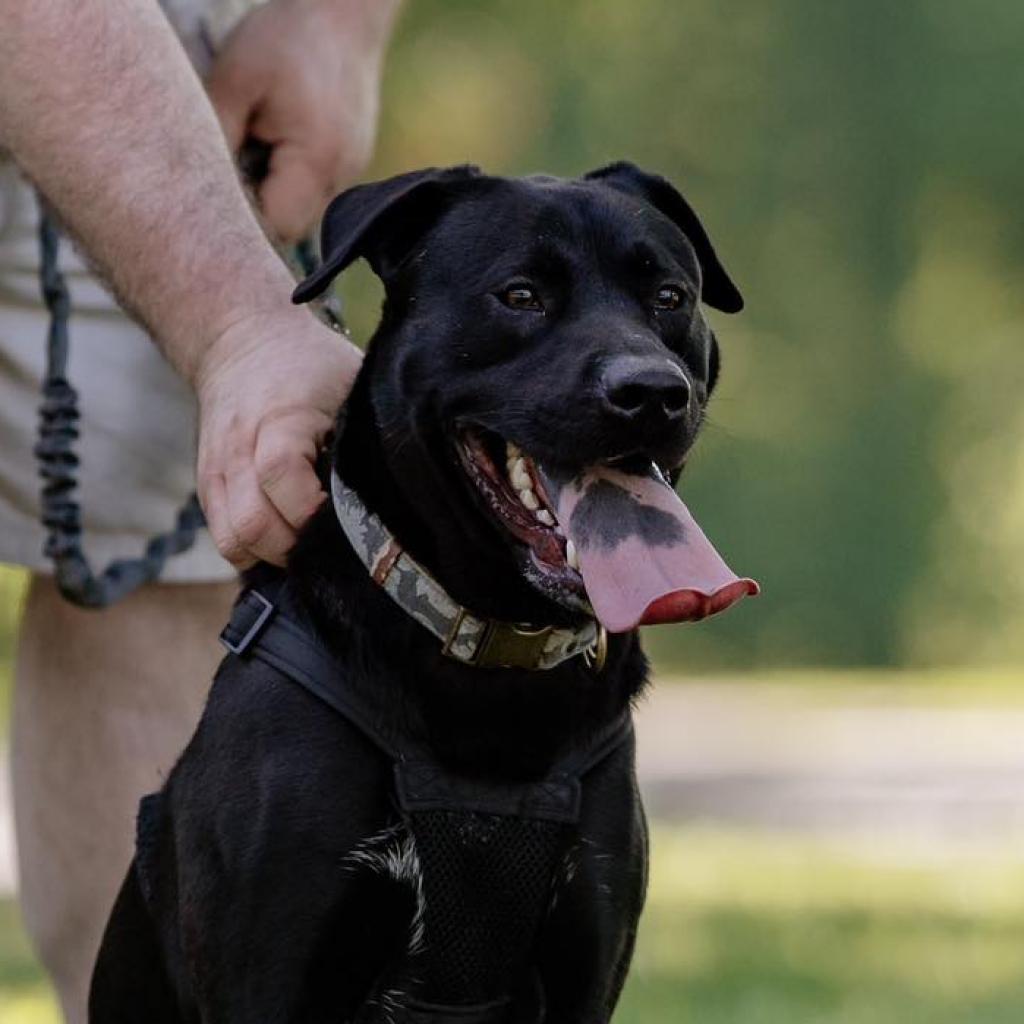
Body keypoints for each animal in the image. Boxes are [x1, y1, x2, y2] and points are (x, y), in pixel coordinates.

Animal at [88, 161, 749, 1024]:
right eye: (520, 295)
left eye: (669, 297)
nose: (651, 391)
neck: (494, 657)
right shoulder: (271, 967)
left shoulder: (589, 958)